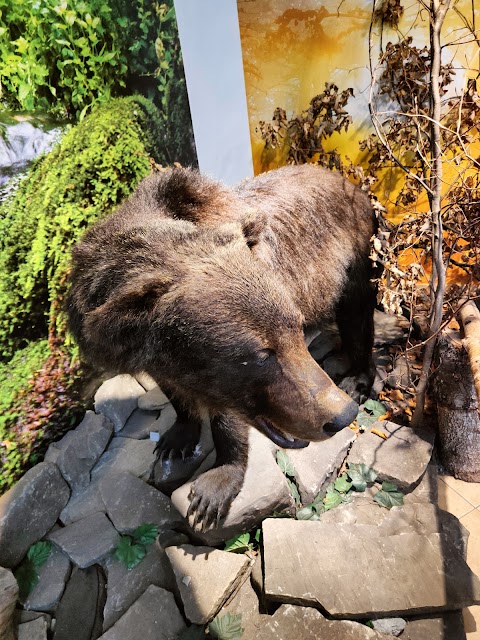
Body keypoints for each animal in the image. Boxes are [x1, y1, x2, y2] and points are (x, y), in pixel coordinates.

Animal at [67, 165, 376, 528]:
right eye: (262, 354)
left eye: (295, 329)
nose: (340, 415)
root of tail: (340, 177)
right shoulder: (144, 351)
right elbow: (173, 389)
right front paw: (176, 439)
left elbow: (226, 417)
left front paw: (212, 490)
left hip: (349, 250)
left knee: (356, 311)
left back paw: (356, 377)